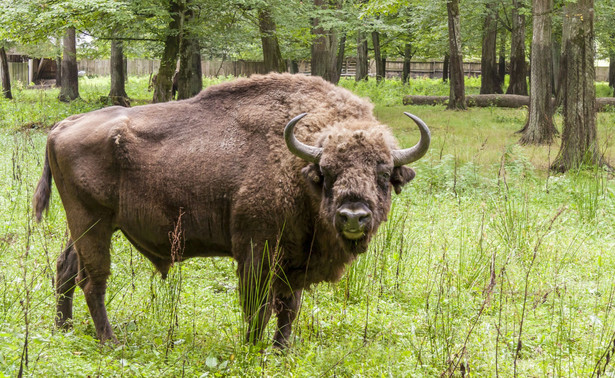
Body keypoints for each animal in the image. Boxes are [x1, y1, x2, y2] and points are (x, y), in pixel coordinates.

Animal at [32, 74, 428, 348]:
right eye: (326, 172)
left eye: (383, 174)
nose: (353, 216)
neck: (297, 166)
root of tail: (63, 125)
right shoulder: (256, 251)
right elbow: (259, 306)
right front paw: (251, 349)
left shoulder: (294, 261)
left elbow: (289, 307)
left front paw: (281, 351)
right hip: (92, 223)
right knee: (92, 281)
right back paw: (110, 341)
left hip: (88, 226)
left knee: (65, 269)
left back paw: (64, 329)